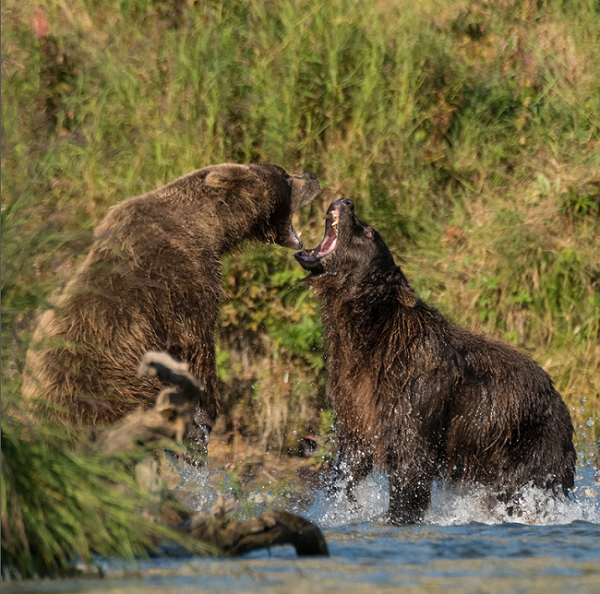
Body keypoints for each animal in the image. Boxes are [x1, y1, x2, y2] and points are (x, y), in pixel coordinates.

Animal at [25, 162, 322, 444]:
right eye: (284, 175)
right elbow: (195, 341)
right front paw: (206, 409)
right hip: (107, 387)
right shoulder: (179, 276)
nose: (311, 176)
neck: (209, 228)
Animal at [296, 198, 576, 524]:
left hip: (528, 441)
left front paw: (398, 515)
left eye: (368, 232)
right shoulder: (354, 392)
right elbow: (351, 456)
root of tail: (559, 399)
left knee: (520, 489)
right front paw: (336, 503)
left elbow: (411, 461)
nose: (346, 202)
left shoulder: (414, 387)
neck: (367, 334)